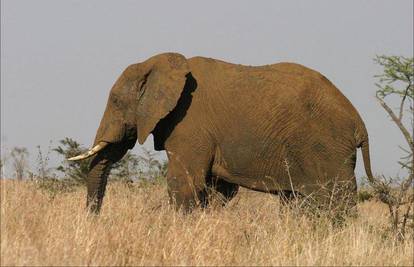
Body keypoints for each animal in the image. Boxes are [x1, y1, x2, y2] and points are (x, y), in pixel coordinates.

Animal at [68, 52, 376, 216]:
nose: (95, 220)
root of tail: (359, 123)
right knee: (298, 200)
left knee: (332, 199)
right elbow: (218, 189)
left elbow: (183, 182)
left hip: (325, 147)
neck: (159, 64)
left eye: (116, 102)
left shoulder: (189, 124)